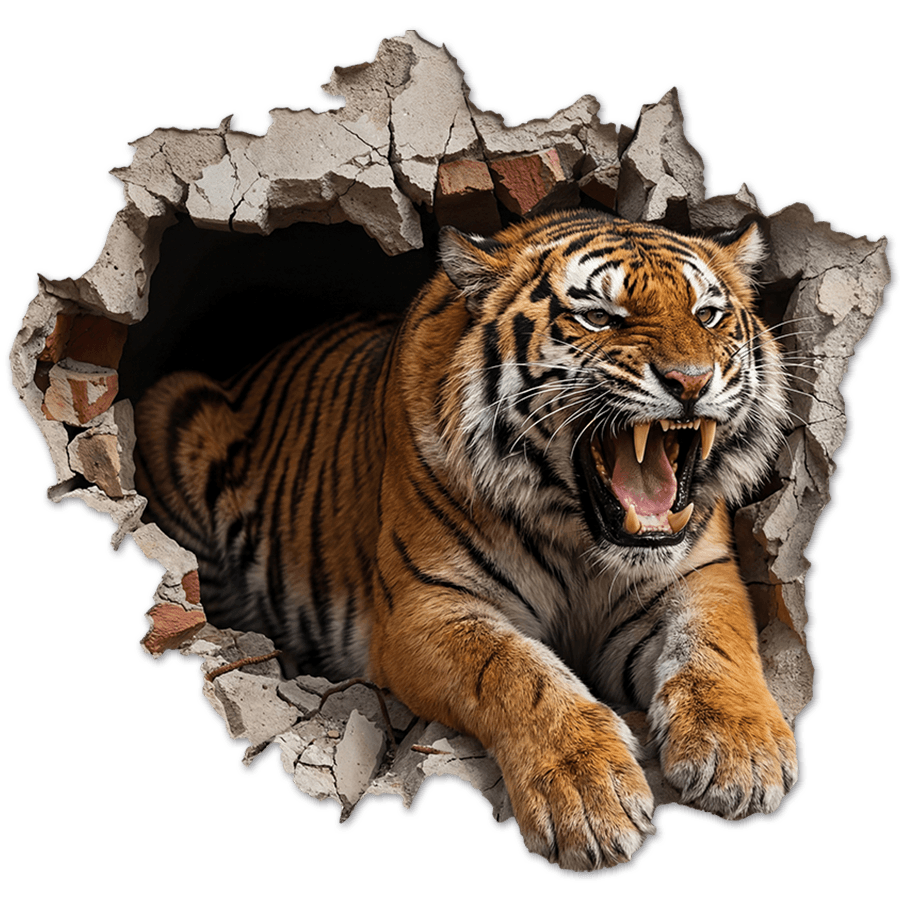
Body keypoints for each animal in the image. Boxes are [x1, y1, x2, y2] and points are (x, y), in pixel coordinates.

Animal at [134, 208, 799, 873]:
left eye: (706, 315)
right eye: (598, 317)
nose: (691, 382)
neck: (580, 537)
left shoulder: (699, 571)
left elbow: (716, 643)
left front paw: (740, 754)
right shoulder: (427, 607)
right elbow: (517, 672)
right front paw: (588, 795)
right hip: (176, 409)